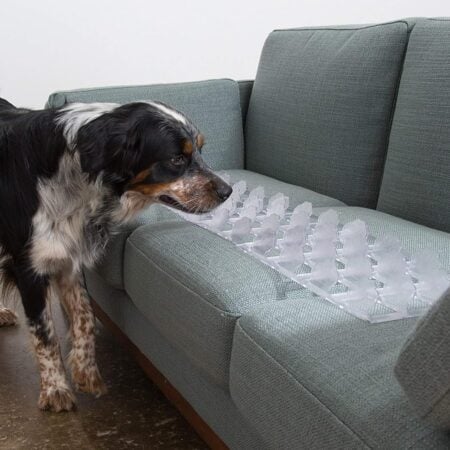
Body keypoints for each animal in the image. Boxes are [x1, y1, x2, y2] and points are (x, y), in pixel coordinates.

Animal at [0, 97, 232, 412]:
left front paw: (86, 371)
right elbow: (44, 333)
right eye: (176, 159)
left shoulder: (68, 258)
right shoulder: (30, 267)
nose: (227, 191)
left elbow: (85, 316)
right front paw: (55, 388)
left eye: (200, 149)